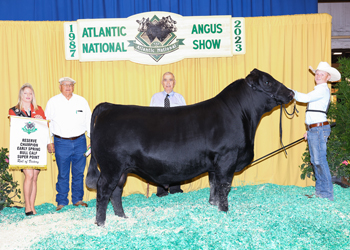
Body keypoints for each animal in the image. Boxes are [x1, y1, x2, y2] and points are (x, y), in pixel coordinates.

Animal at [86, 68, 294, 227]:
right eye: (267, 82)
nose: (291, 93)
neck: (242, 116)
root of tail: (110, 107)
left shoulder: (215, 165)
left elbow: (214, 185)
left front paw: (214, 206)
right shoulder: (227, 158)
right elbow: (224, 187)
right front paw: (224, 210)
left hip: (122, 169)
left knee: (116, 191)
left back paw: (122, 217)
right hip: (111, 167)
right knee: (104, 190)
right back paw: (101, 223)